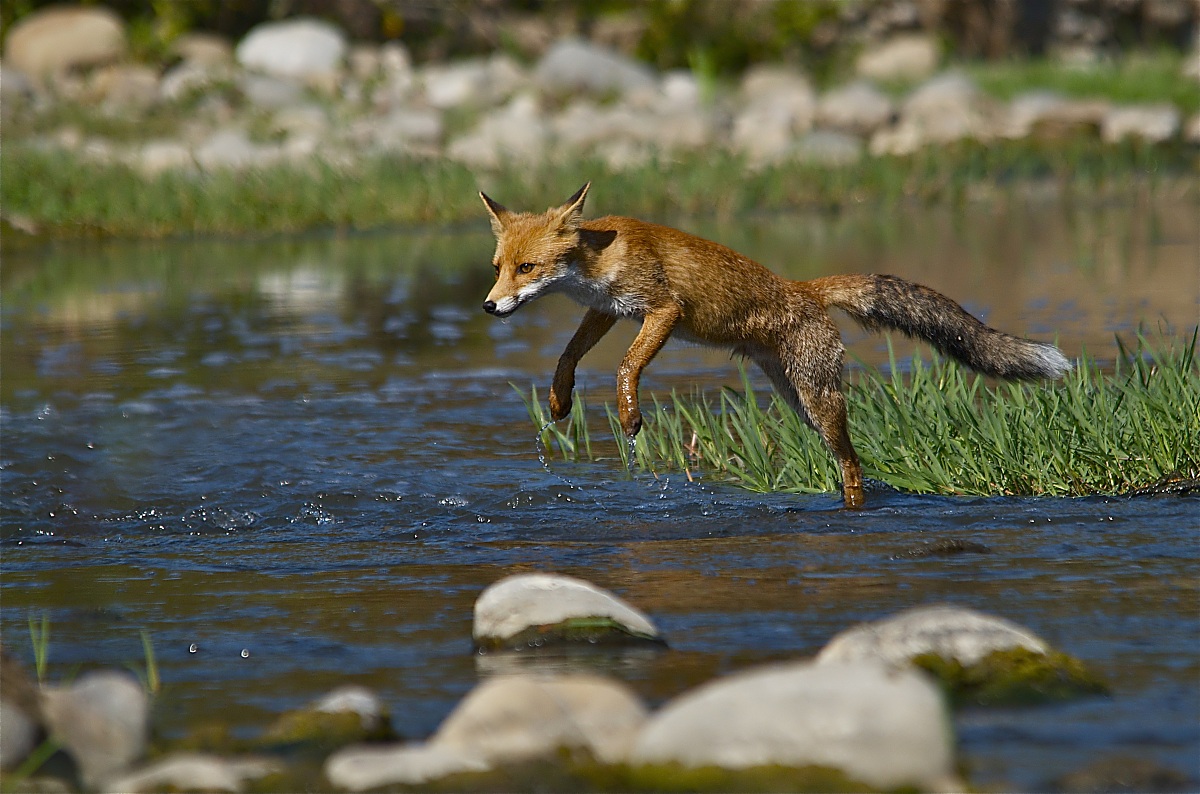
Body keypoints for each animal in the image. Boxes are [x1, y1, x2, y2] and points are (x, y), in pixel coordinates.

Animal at [480, 183, 1071, 507]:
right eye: (498, 268)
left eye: (527, 268)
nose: (488, 306)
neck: (600, 259)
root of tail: (805, 288)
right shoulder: (607, 310)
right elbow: (567, 356)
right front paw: (559, 400)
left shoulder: (663, 310)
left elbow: (627, 367)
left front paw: (629, 418)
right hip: (799, 401)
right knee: (849, 461)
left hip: (820, 400)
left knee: (853, 465)